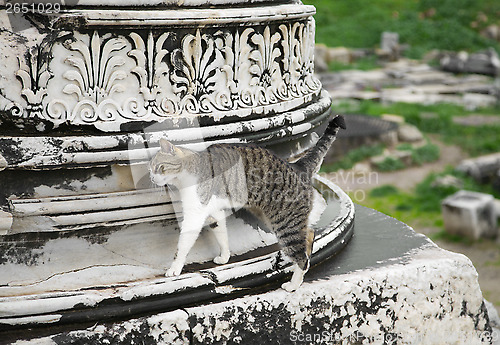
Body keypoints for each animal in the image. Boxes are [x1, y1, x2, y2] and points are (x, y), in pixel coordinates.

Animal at [148, 115, 346, 290]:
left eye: (158, 167)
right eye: (150, 170)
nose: (152, 179)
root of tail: (297, 166)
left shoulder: (195, 214)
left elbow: (183, 244)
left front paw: (174, 268)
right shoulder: (214, 212)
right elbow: (222, 234)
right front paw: (224, 256)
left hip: (284, 222)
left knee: (301, 256)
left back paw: (293, 285)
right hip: (273, 218)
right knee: (310, 233)